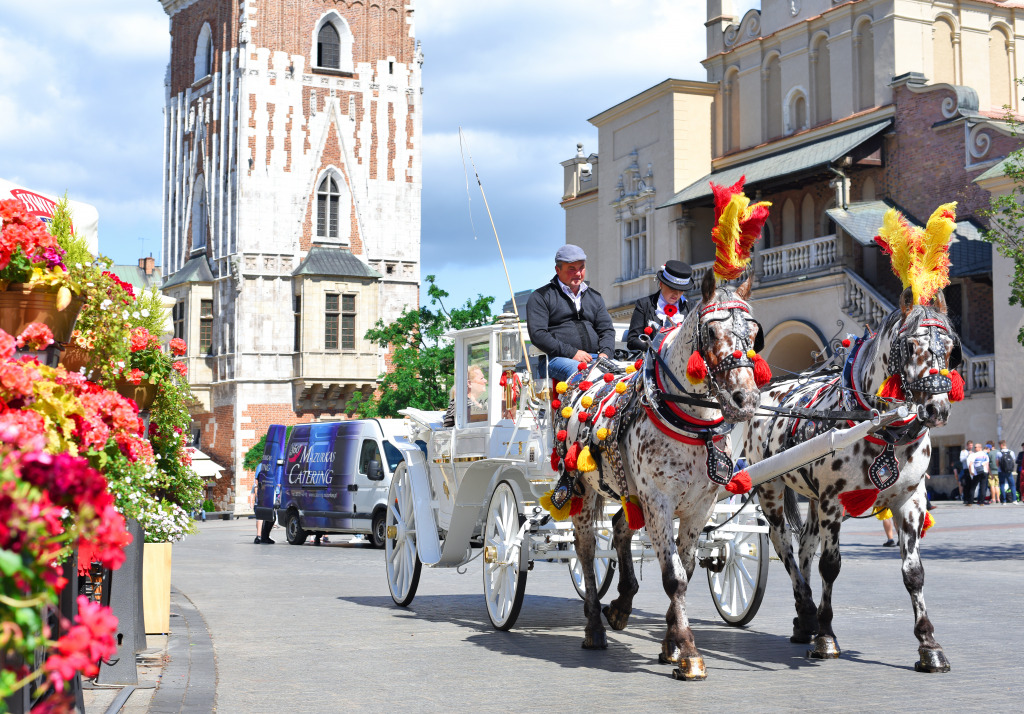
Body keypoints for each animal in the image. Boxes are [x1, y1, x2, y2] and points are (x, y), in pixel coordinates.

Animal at [544, 268, 770, 680]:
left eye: (754, 331)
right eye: (711, 332)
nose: (745, 400)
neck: (691, 421)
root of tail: (589, 372)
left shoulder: (699, 506)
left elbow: (688, 569)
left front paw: (671, 645)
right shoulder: (659, 502)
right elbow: (674, 577)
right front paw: (690, 654)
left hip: (630, 492)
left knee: (619, 527)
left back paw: (621, 604)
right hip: (585, 489)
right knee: (586, 550)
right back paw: (594, 627)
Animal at [745, 286, 958, 672]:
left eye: (950, 347)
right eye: (910, 347)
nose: (937, 409)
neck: (880, 427)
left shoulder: (910, 501)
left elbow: (914, 572)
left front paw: (929, 645)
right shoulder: (833, 501)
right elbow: (831, 566)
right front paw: (827, 637)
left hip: (812, 499)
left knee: (805, 547)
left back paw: (803, 623)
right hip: (770, 489)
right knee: (784, 545)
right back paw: (808, 613)